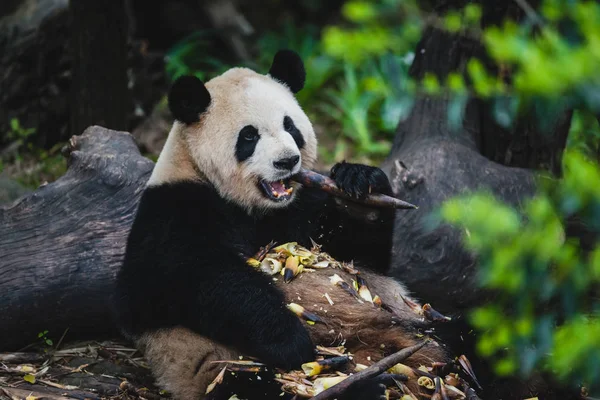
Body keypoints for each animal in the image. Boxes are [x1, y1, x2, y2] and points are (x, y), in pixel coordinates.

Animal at [113, 50, 450, 400]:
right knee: (253, 386)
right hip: (217, 367)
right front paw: (289, 339)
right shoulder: (172, 209)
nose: (287, 161)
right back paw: (362, 386)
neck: (252, 206)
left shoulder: (301, 205)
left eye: (290, 126)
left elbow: (361, 255)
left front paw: (360, 184)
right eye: (249, 136)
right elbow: (183, 276)